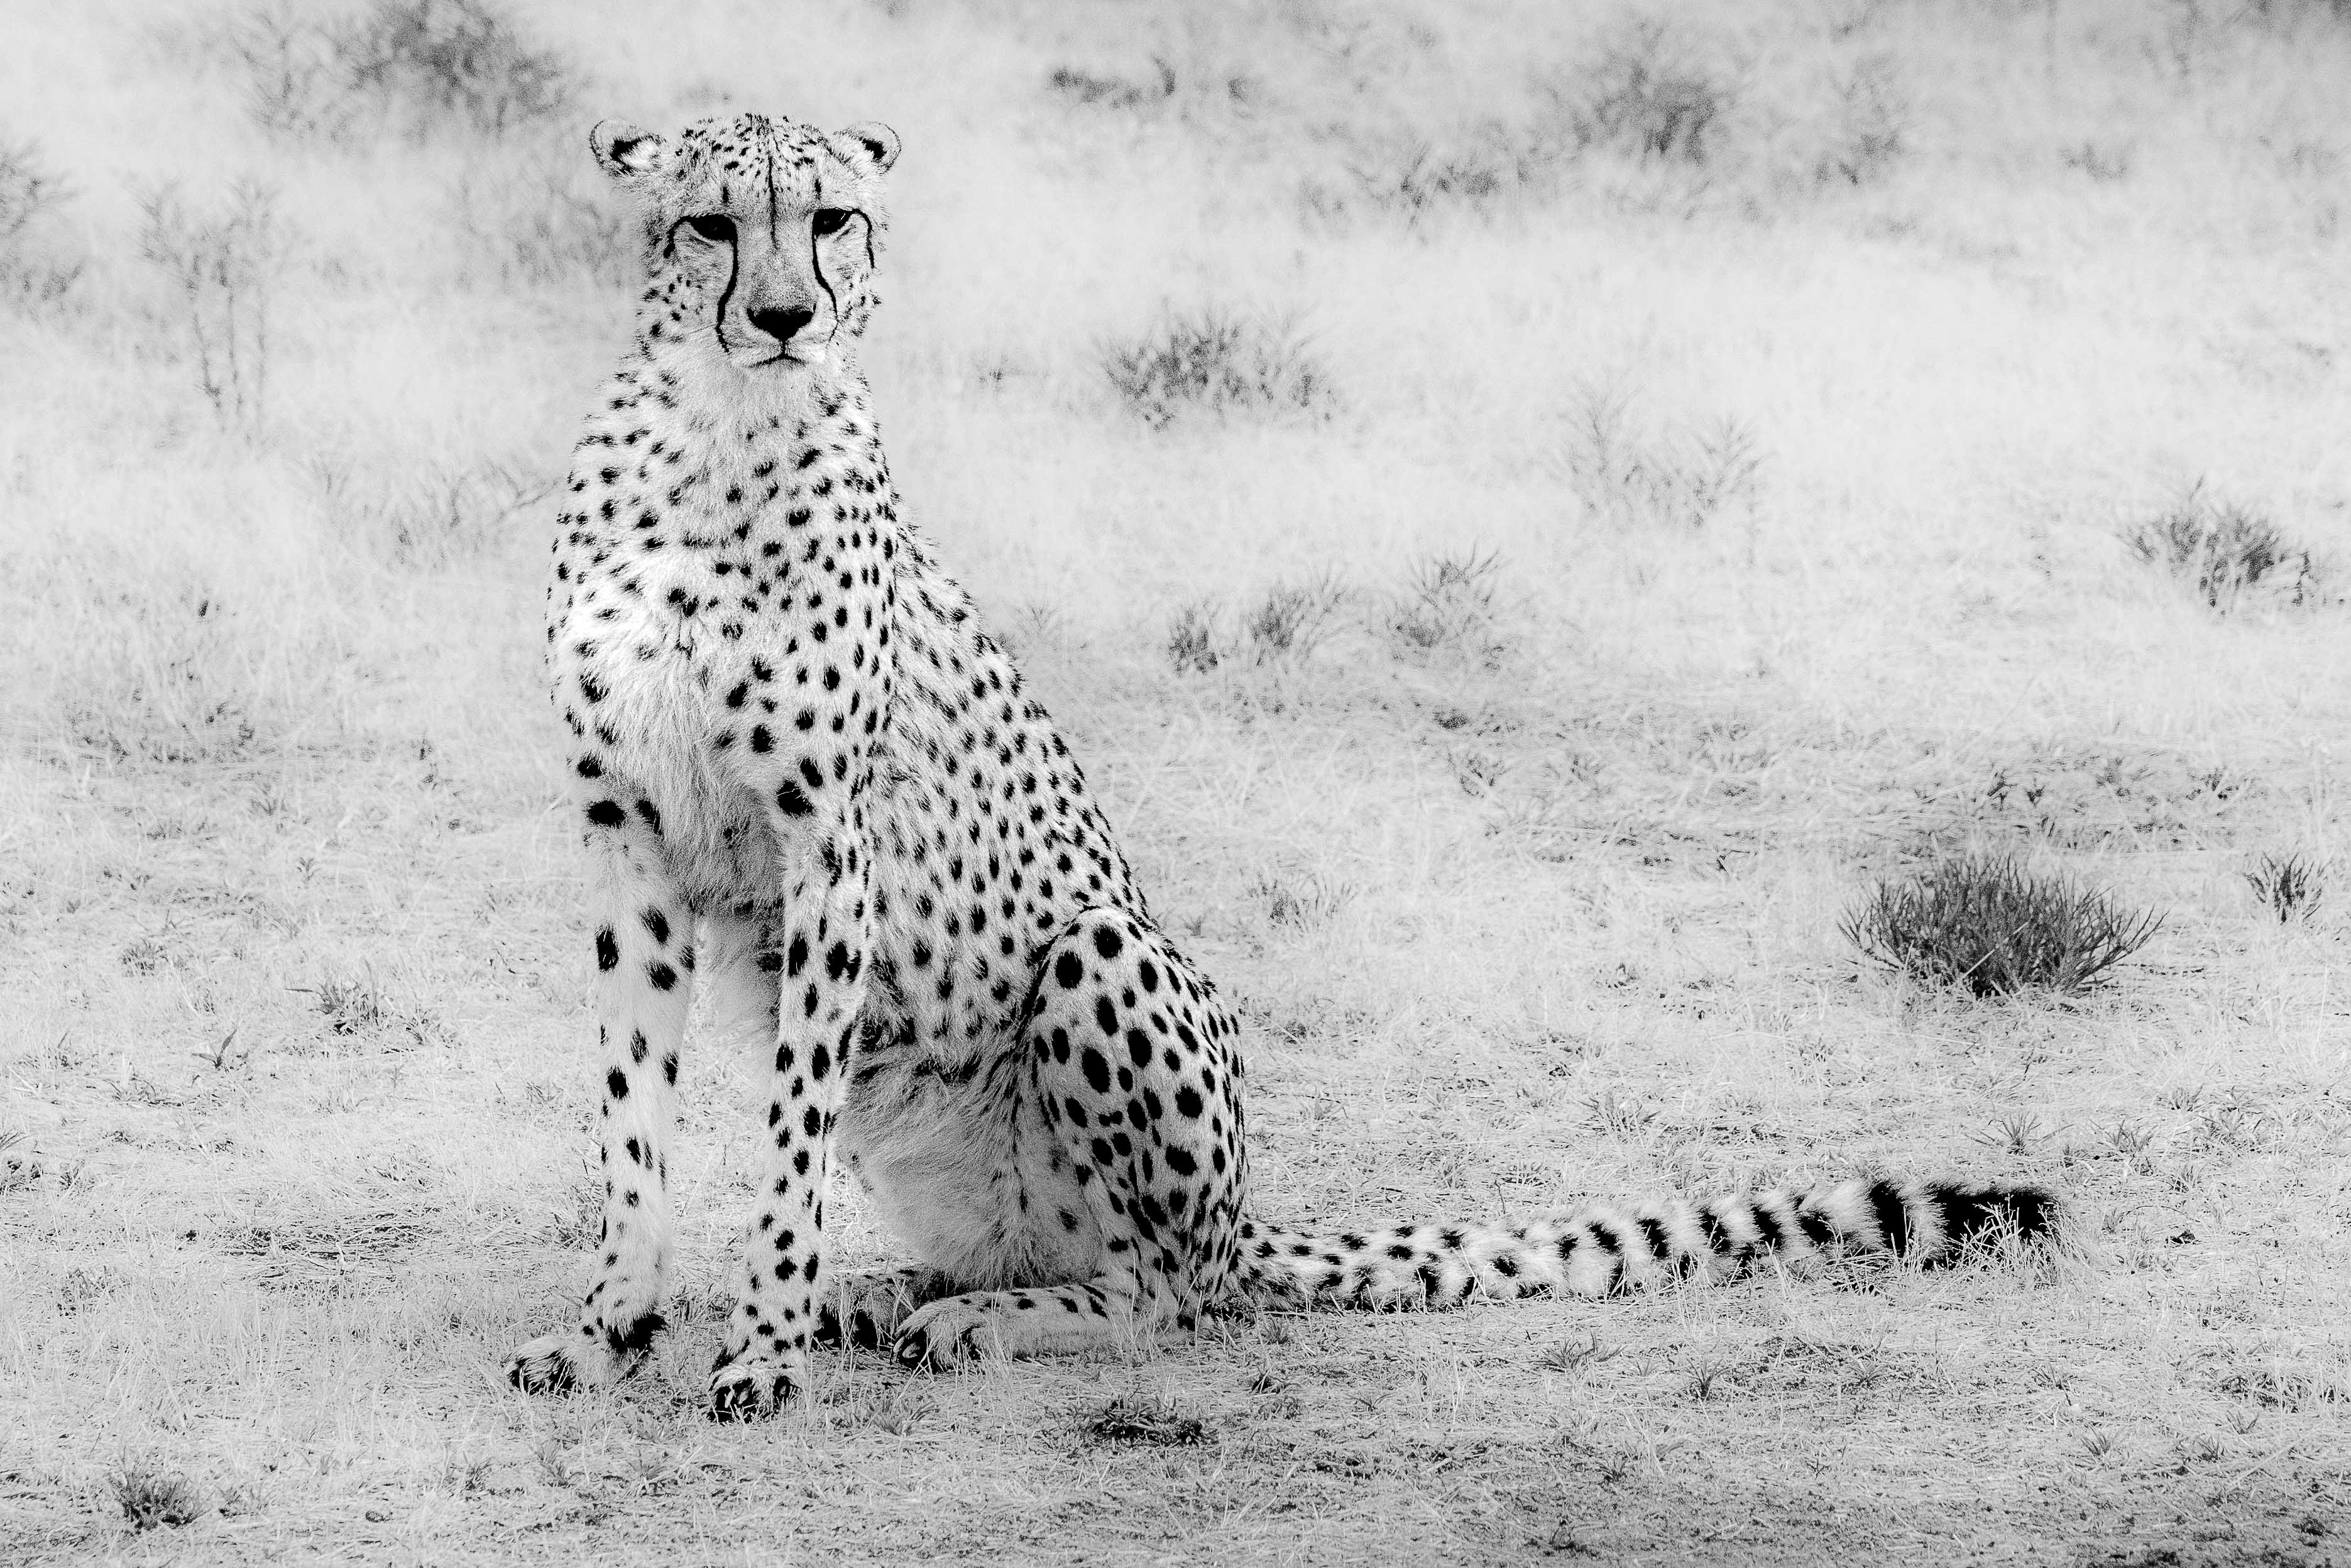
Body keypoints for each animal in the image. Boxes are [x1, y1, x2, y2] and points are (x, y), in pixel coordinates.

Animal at [504, 109, 2059, 1421]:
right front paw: (611, 1328)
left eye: (830, 217)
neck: (714, 433)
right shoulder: (626, 834)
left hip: (1104, 954)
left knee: (1167, 1292)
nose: (785, 316)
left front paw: (758, 1343)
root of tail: (1243, 1216)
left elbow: (784, 1134)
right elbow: (629, 1113)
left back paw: (976, 1316)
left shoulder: (828, 849)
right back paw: (892, 1292)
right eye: (710, 225)